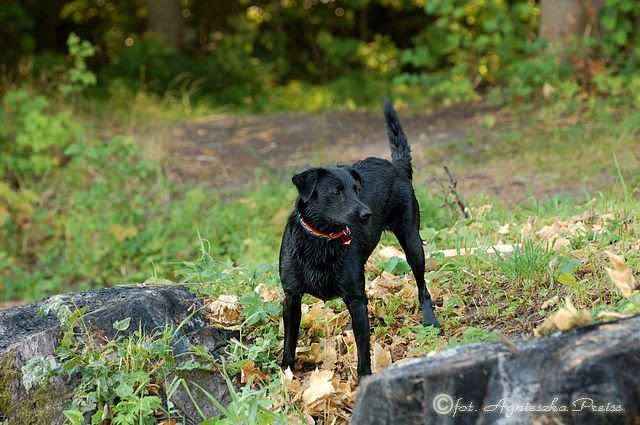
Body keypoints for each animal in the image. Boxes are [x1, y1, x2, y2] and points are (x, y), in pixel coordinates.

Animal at [279, 99, 440, 379]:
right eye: (336, 192)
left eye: (356, 190)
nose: (367, 214)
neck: (322, 241)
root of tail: (396, 166)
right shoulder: (292, 297)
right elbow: (289, 342)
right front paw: (285, 377)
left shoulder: (356, 298)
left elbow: (363, 351)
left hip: (412, 242)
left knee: (422, 287)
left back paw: (430, 320)